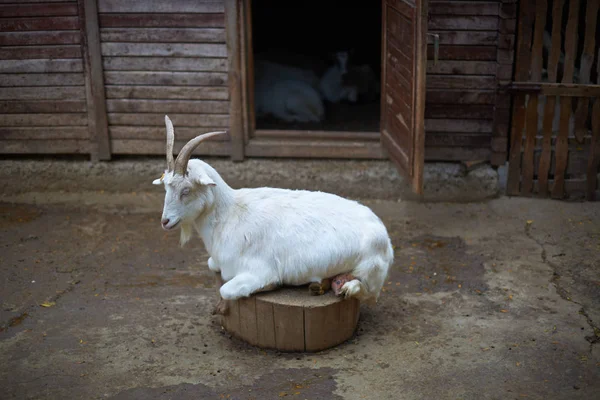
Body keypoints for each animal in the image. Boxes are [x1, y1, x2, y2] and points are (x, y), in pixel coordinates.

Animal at [152, 115, 392, 316]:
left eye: (186, 190)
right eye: (165, 187)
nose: (165, 221)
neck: (230, 214)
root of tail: (385, 239)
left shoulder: (259, 270)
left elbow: (226, 289)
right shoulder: (218, 261)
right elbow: (212, 265)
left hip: (370, 271)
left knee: (370, 294)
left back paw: (346, 287)